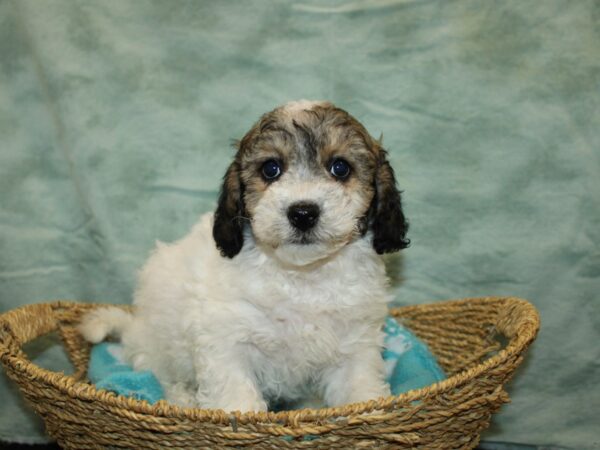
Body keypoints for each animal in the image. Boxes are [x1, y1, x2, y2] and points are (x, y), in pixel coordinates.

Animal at [78, 101, 408, 412]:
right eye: (271, 169)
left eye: (340, 168)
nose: (303, 213)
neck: (302, 277)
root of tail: (136, 328)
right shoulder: (226, 340)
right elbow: (235, 396)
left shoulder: (356, 346)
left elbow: (360, 390)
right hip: (160, 348)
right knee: (159, 377)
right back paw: (183, 399)